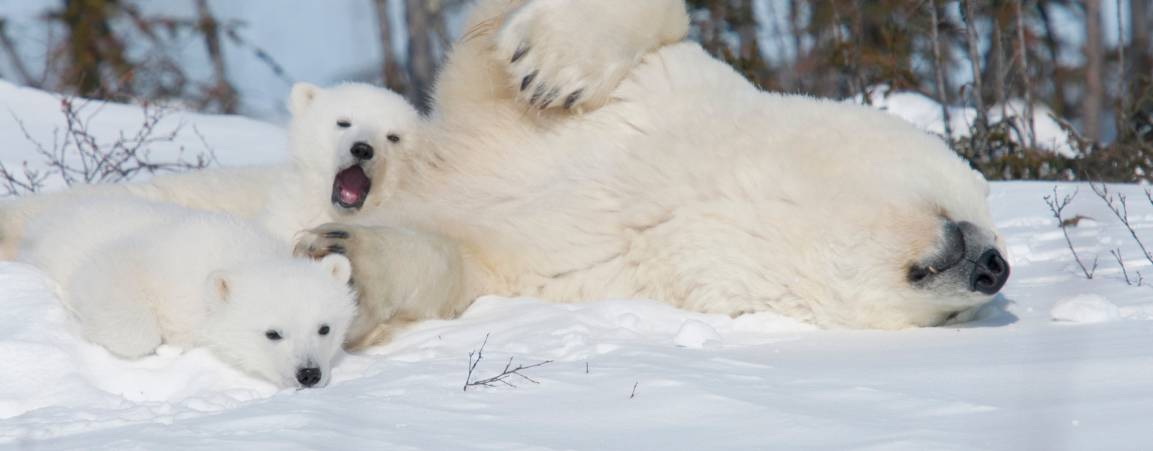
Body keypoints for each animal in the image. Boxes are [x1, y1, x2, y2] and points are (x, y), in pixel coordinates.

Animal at [297, 0, 1010, 341]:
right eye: (975, 196)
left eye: (953, 319)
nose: (994, 267)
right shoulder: (641, 98)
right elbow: (495, 36)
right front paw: (549, 64)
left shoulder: (578, 271)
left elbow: (456, 267)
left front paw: (343, 264)